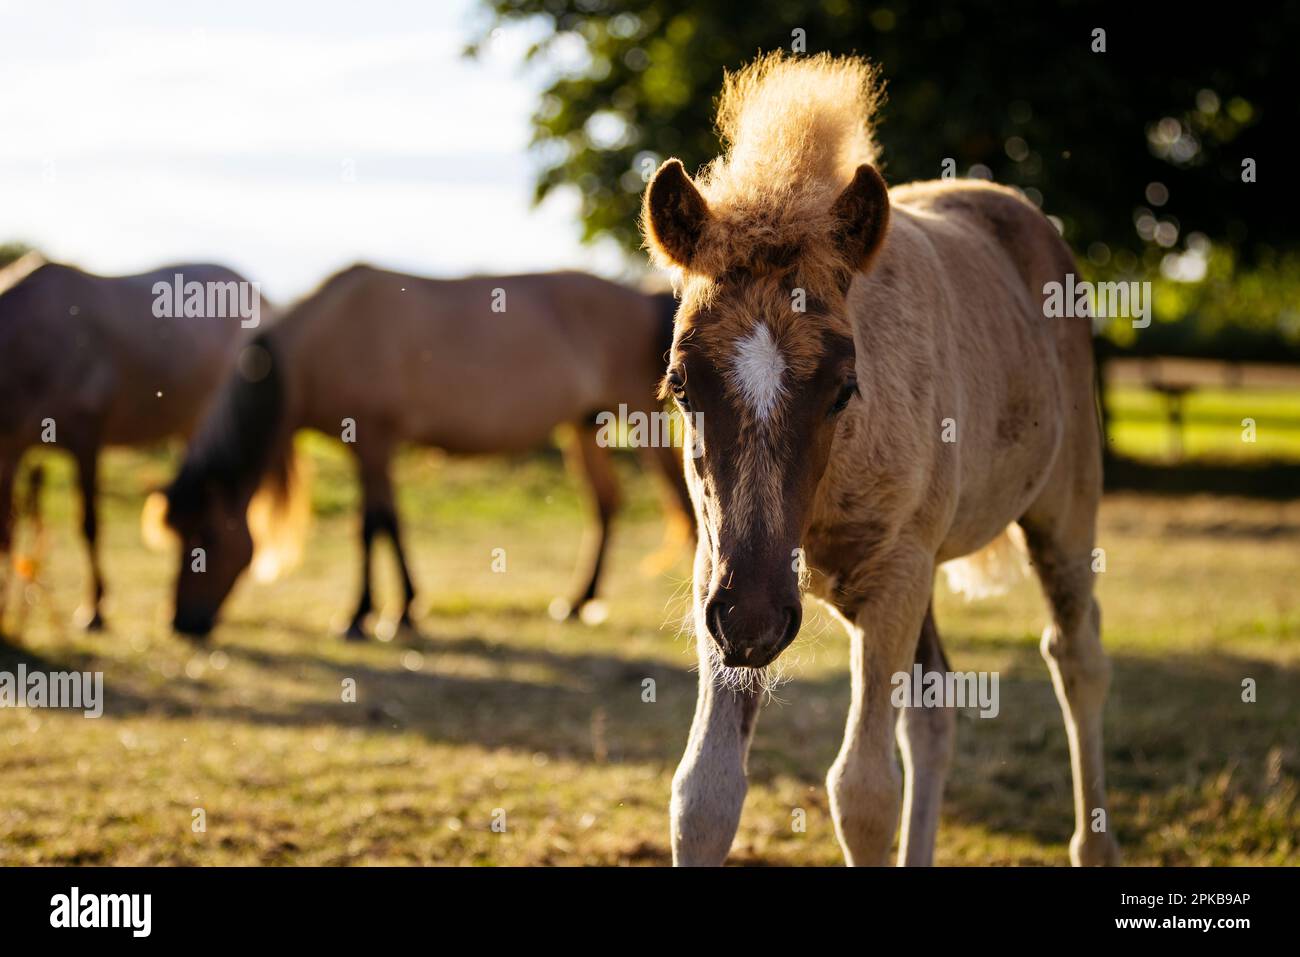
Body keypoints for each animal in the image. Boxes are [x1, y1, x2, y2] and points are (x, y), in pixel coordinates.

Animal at [152, 265, 691, 639]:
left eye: (205, 538)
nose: (182, 622)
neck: (323, 341)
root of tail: (647, 298)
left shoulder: (372, 442)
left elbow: (373, 525)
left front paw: (364, 615)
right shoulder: (370, 450)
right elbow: (388, 522)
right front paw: (402, 609)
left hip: (639, 417)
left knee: (686, 503)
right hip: (584, 426)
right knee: (605, 503)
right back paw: (578, 602)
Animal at [644, 54, 1123, 868]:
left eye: (844, 387)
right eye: (680, 383)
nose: (756, 617)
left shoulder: (892, 573)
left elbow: (863, 793)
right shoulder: (721, 572)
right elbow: (702, 791)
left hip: (1061, 507)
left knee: (1076, 657)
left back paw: (1095, 845)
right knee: (934, 711)